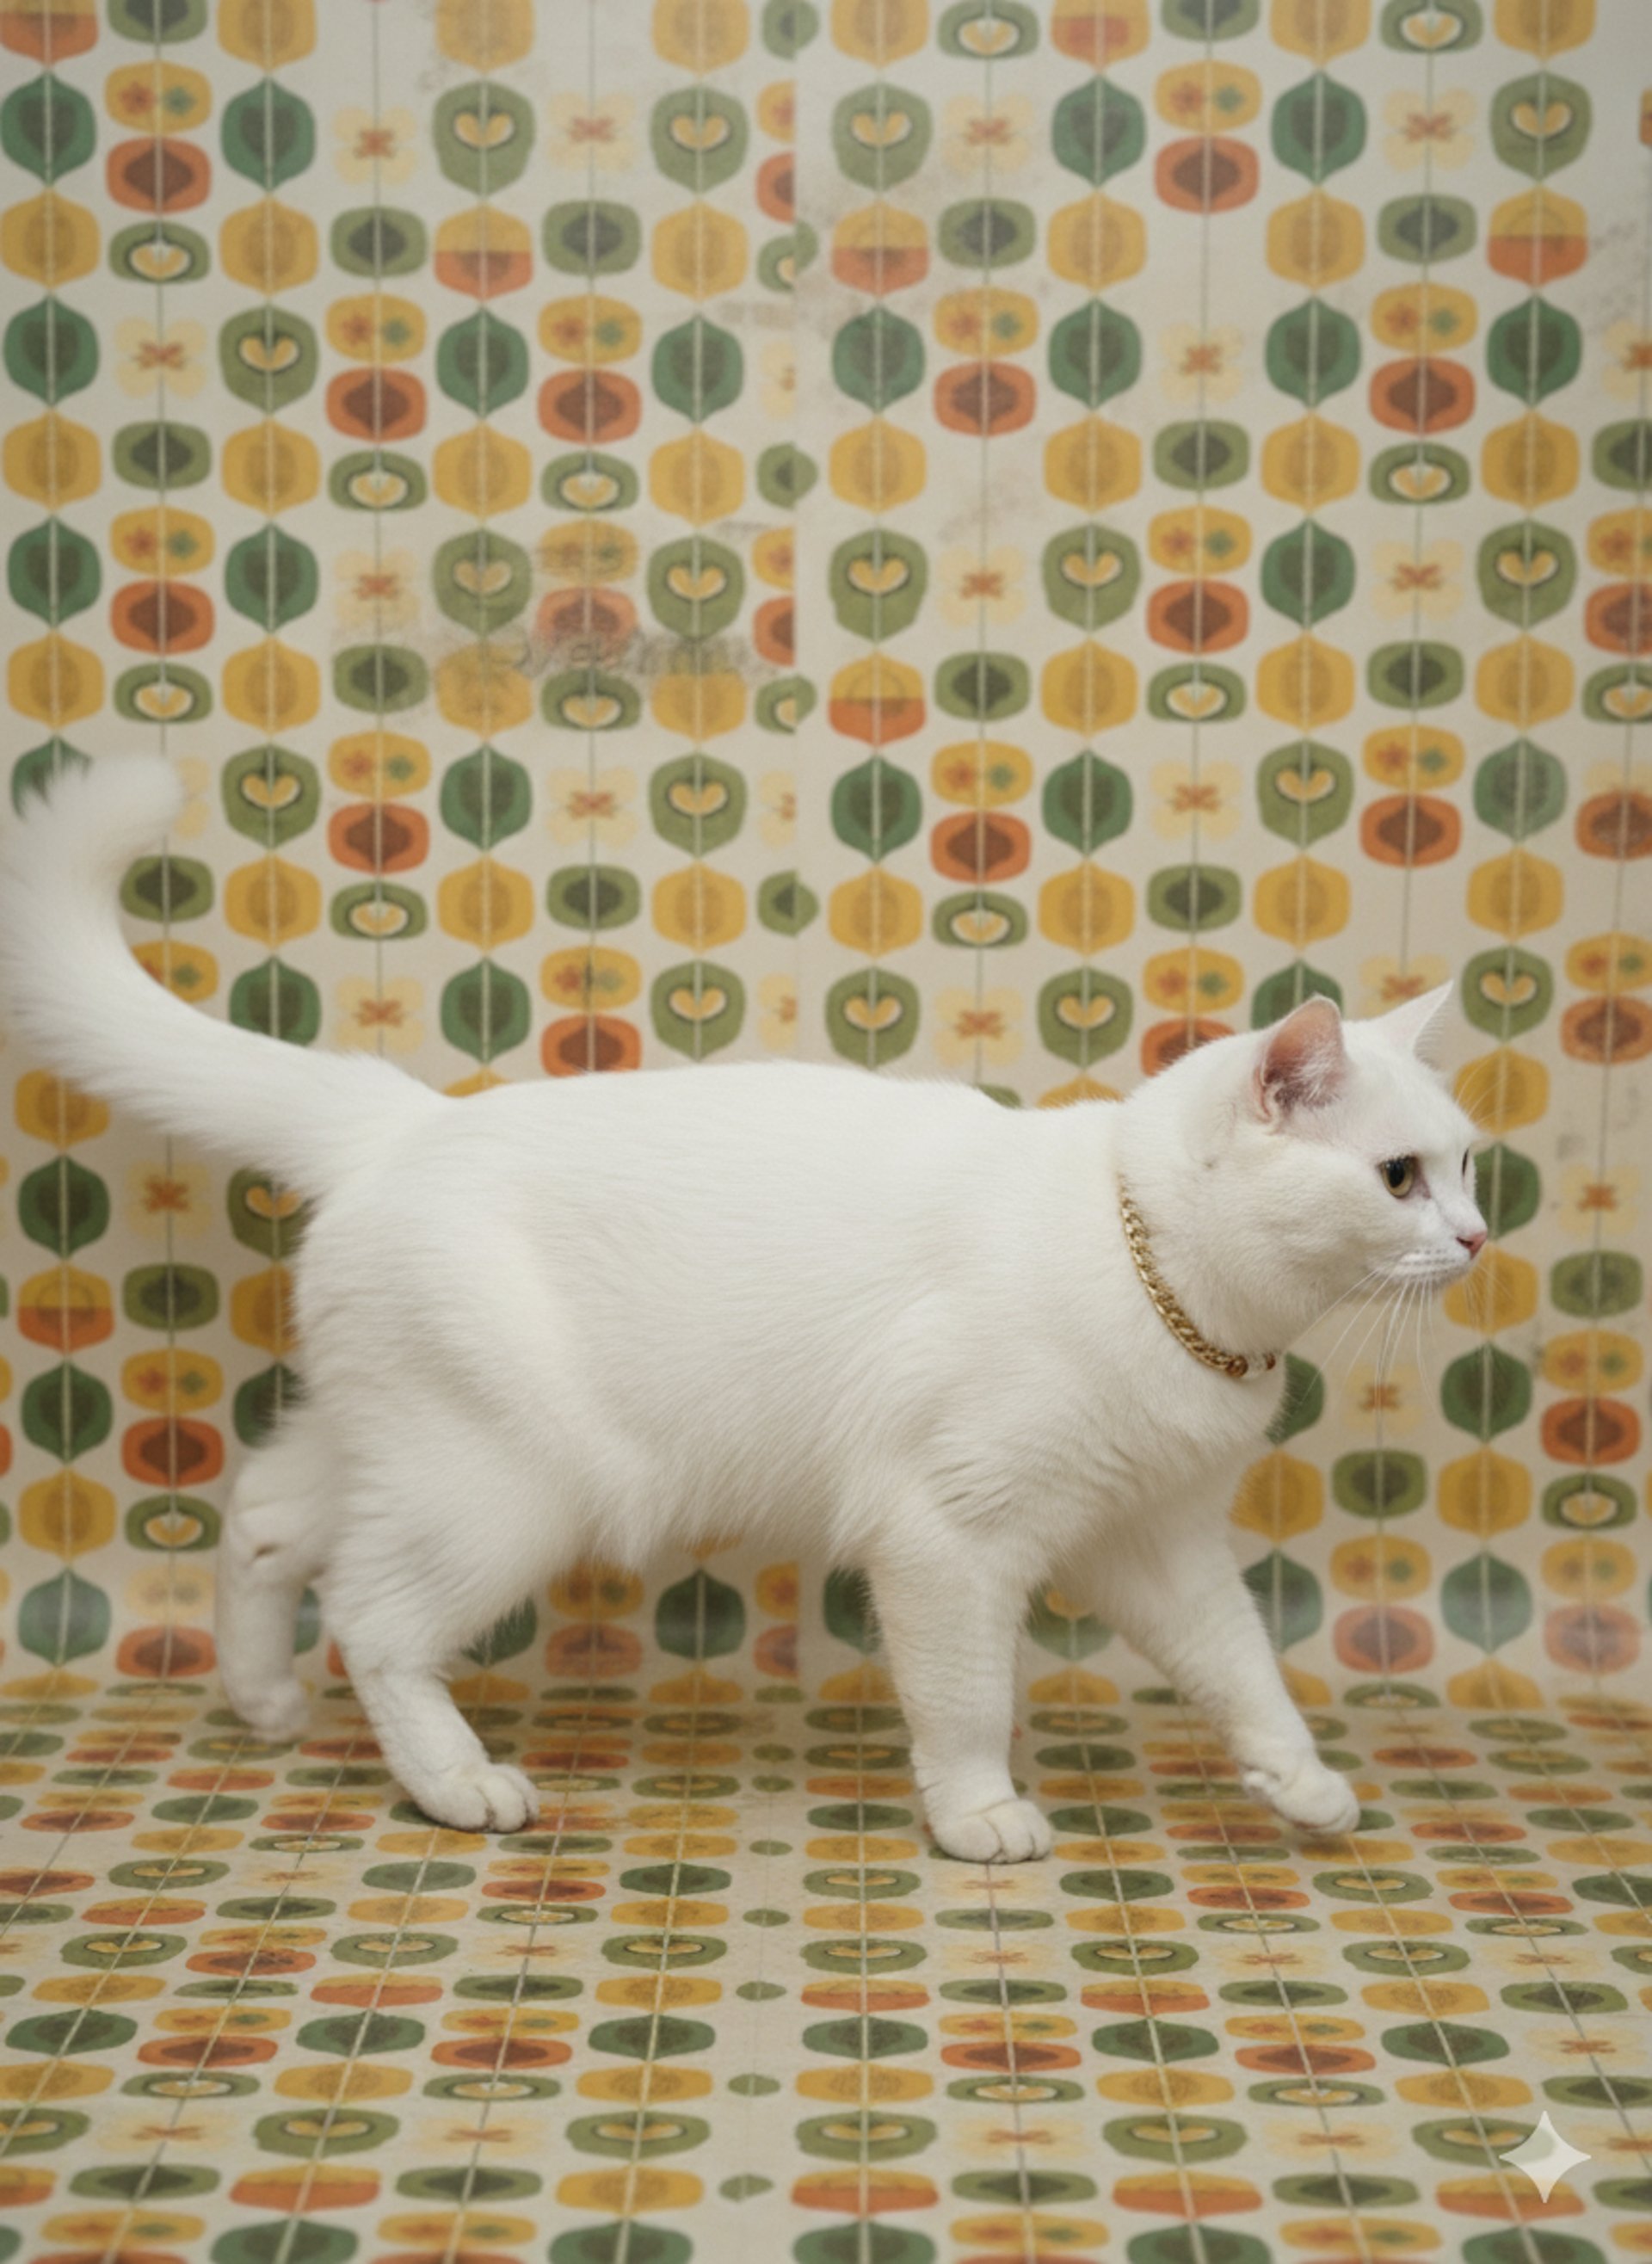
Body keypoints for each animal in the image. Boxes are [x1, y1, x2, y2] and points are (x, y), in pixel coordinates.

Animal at [0, 757, 1487, 1857]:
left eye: (1466, 1161)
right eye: (1398, 1176)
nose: (1476, 1235)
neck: (1161, 1279)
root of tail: (401, 1118)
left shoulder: (1156, 1539)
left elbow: (1244, 1667)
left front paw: (1300, 1782)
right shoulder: (949, 1539)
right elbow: (967, 1694)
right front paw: (980, 1811)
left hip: (401, 1440)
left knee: (264, 1517)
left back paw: (260, 1695)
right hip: (507, 1484)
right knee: (372, 1616)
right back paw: (456, 1780)